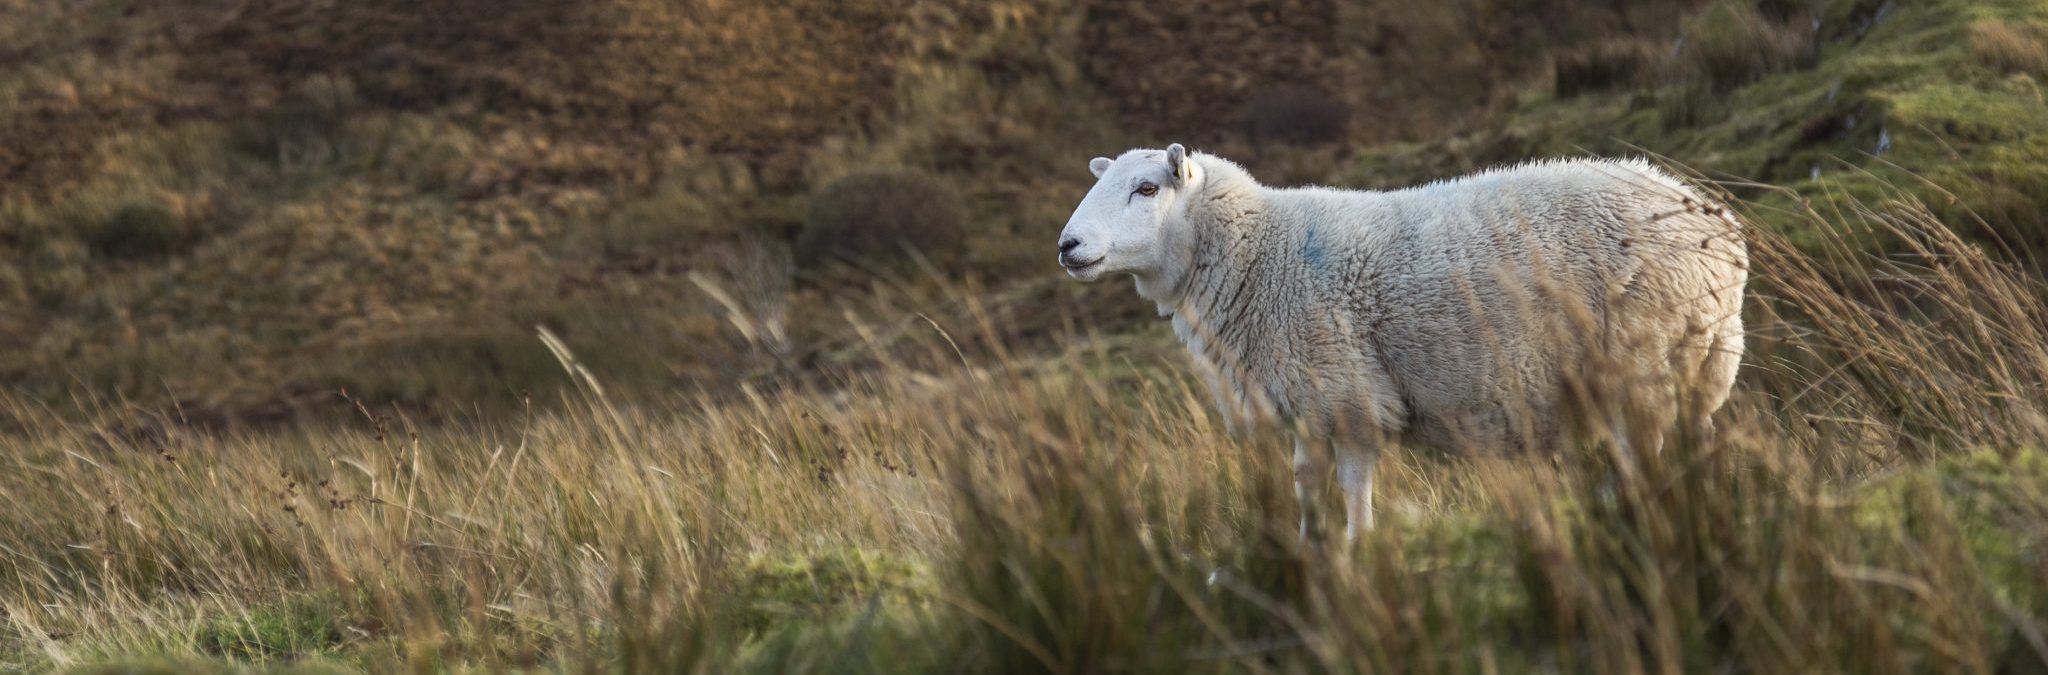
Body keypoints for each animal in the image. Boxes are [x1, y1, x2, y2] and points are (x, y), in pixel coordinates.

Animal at [1055, 144, 1747, 541]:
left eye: (1147, 189)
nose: (1067, 247)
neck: (1257, 252)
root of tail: (1713, 221)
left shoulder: (1347, 393)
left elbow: (1353, 489)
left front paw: (1359, 557)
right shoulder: (1305, 402)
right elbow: (1306, 485)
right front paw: (1311, 554)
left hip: (1643, 358)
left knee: (1645, 453)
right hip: (1701, 359)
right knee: (1698, 443)